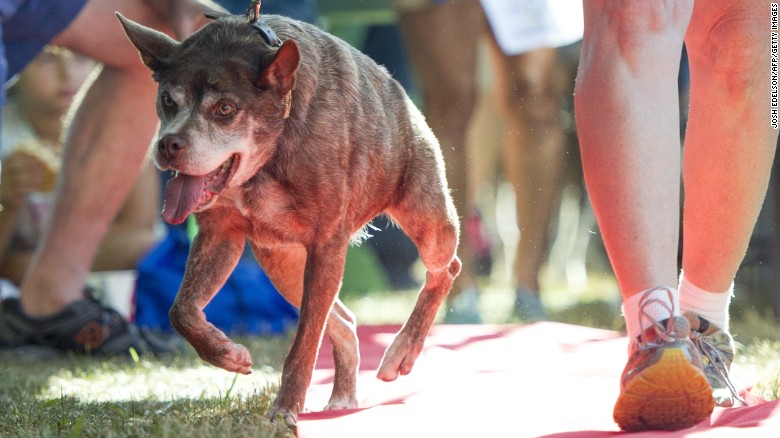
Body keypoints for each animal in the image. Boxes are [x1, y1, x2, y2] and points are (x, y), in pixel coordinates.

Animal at [118, 12, 460, 424]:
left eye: (225, 109)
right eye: (168, 100)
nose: (168, 144)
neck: (272, 148)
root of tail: (401, 95)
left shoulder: (328, 244)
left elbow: (305, 343)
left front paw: (285, 409)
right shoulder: (221, 232)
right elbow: (180, 310)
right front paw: (226, 353)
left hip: (428, 222)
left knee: (446, 269)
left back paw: (402, 351)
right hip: (283, 264)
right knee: (343, 320)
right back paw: (343, 398)